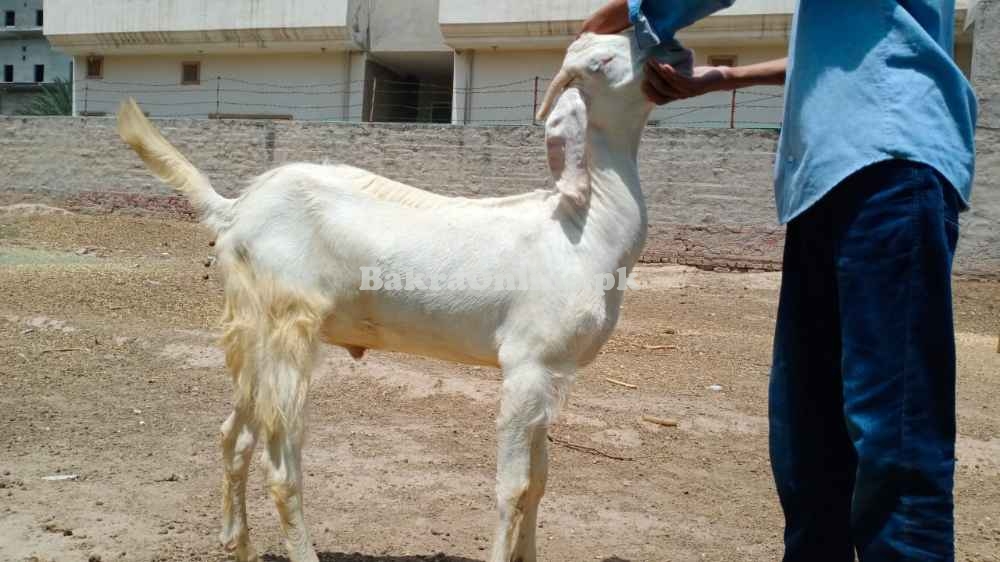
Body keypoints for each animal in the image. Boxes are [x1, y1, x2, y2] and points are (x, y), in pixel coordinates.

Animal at [121, 30, 676, 560]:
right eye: (602, 61)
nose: (672, 59)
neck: (582, 227)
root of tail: (236, 209)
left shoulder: (552, 371)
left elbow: (540, 482)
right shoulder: (527, 361)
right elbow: (514, 489)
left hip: (253, 326)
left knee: (233, 436)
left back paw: (238, 544)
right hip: (288, 323)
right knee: (280, 466)